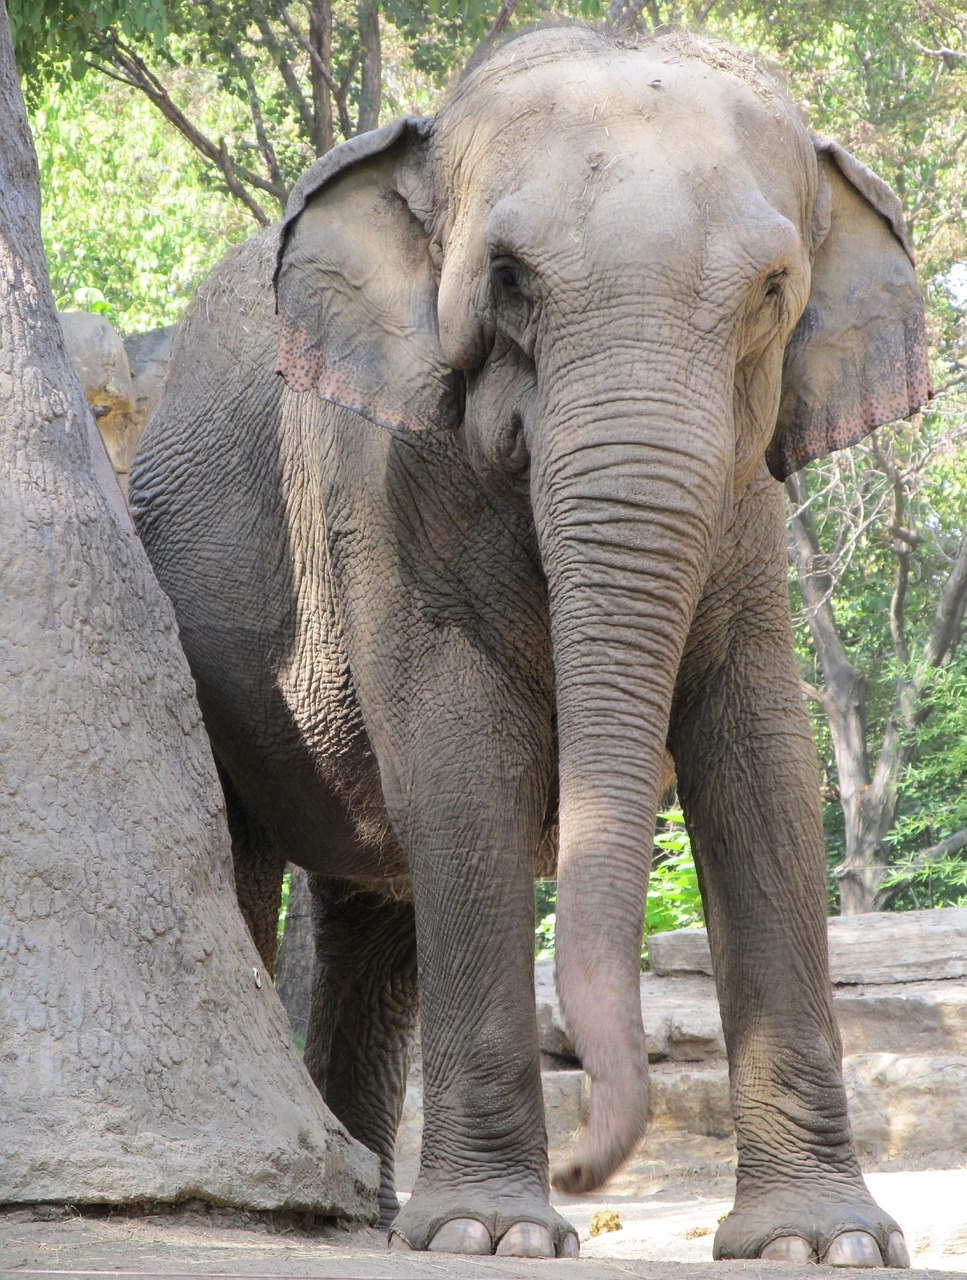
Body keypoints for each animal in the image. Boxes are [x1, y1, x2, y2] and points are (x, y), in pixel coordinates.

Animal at [128, 24, 932, 1264]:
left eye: (772, 290)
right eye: (507, 281)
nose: (583, 1170)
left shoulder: (746, 506)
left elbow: (763, 770)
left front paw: (823, 1243)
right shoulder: (384, 486)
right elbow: (466, 763)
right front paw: (488, 1233)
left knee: (375, 913)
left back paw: (367, 1206)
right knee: (250, 855)